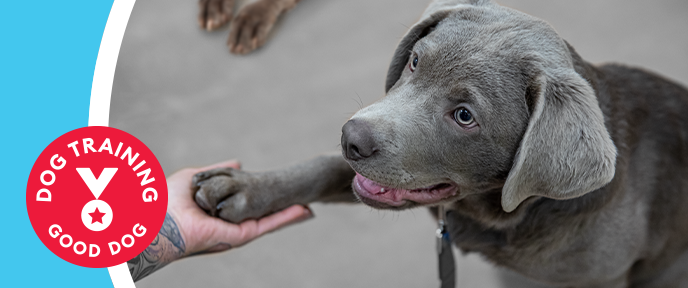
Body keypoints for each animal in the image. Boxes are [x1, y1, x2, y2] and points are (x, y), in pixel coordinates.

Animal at [191, 0, 688, 286]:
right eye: (414, 61)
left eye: (465, 116)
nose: (351, 138)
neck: (492, 214)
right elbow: (323, 167)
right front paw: (243, 188)